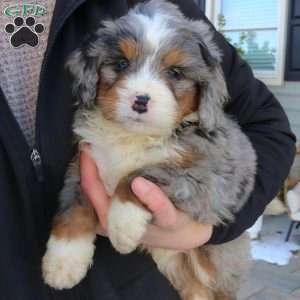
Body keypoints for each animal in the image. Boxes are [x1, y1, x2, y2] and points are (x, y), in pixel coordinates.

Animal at [41, 1, 258, 298]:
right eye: (121, 64)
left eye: (175, 72)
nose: (140, 101)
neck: (133, 136)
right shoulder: (84, 160)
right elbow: (72, 207)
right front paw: (63, 262)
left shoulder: (205, 179)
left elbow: (138, 176)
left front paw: (122, 225)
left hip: (211, 262)